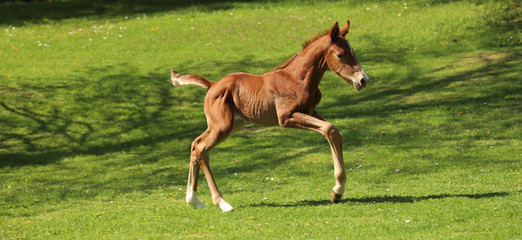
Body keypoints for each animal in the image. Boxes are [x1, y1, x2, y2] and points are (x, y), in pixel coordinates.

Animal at [171, 20, 366, 212]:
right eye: (340, 54)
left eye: (353, 51)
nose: (363, 80)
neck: (297, 78)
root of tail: (212, 85)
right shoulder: (287, 118)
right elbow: (330, 129)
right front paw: (337, 190)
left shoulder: (310, 111)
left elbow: (333, 132)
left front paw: (337, 192)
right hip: (222, 127)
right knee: (202, 148)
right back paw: (222, 203)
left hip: (231, 124)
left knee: (195, 144)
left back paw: (193, 200)